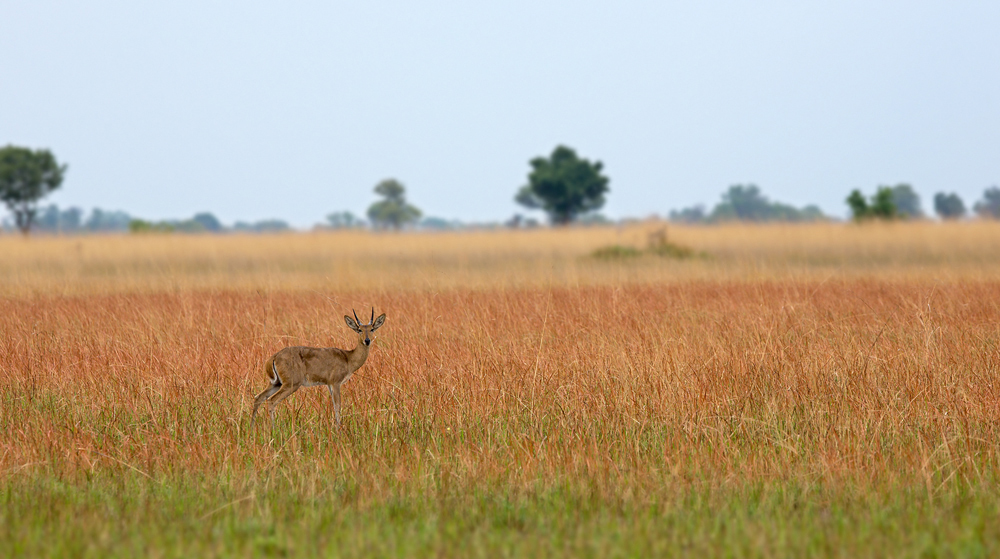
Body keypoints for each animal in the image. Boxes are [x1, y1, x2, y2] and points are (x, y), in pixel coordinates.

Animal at [250, 308, 386, 430]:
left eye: (372, 329)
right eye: (359, 330)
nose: (367, 340)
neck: (348, 357)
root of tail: (274, 357)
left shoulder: (329, 384)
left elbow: (334, 405)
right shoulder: (335, 383)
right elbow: (338, 405)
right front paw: (338, 429)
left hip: (276, 383)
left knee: (258, 398)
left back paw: (252, 428)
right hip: (291, 384)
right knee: (271, 401)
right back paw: (274, 429)